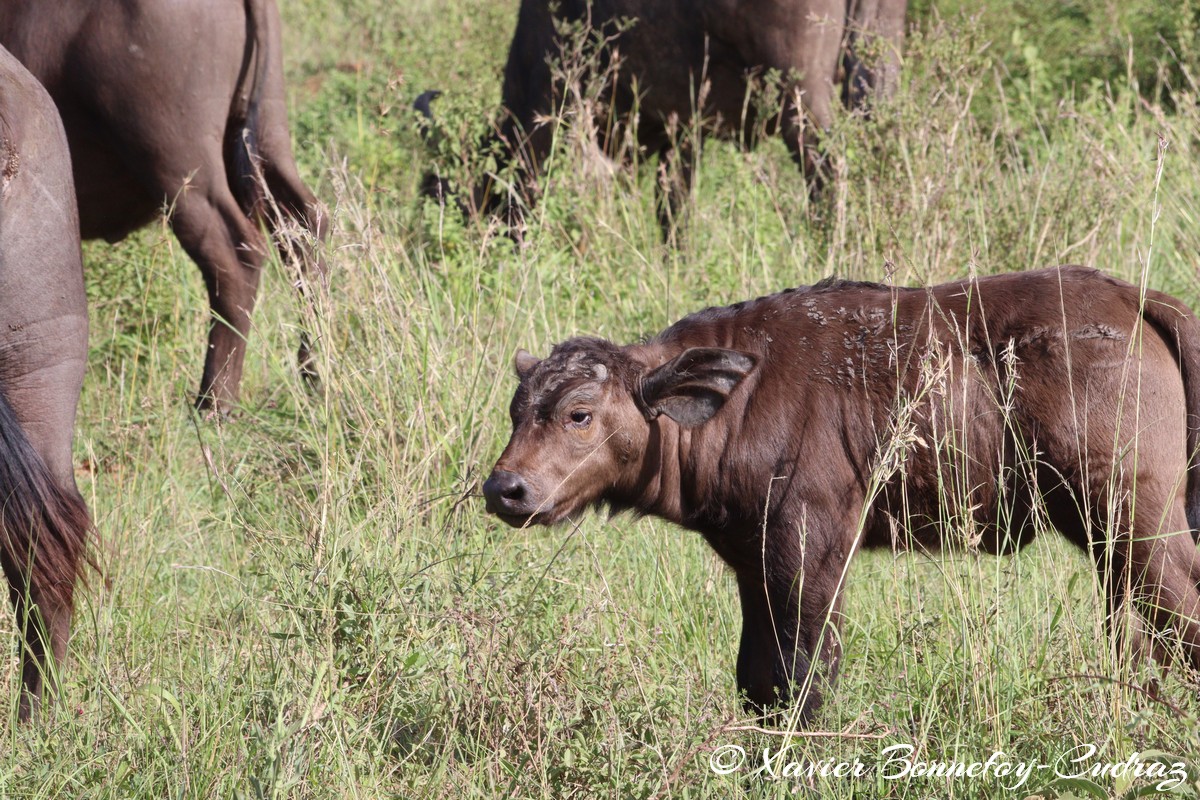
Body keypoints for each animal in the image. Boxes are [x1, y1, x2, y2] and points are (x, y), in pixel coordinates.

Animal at [0, 0, 328, 413]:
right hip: (267, 131)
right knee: (304, 229)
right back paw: (314, 372)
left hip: (178, 166)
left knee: (235, 257)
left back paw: (213, 402)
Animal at [421, 0, 908, 236]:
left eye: (444, 200)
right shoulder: (683, 136)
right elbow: (674, 211)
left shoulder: (560, 114)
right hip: (875, 63)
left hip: (800, 93)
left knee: (829, 170)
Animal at [484, 266, 1200, 720]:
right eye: (517, 411)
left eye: (579, 413)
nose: (505, 488)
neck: (734, 399)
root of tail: (1133, 298)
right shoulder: (754, 562)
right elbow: (758, 679)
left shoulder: (813, 551)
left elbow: (803, 676)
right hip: (1112, 544)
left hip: (1137, 527)